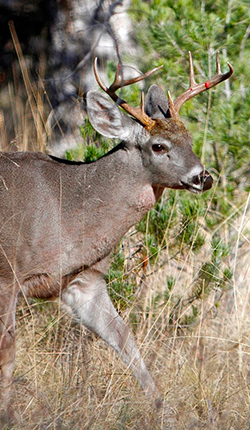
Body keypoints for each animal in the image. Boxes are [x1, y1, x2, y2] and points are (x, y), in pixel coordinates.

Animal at [0, 51, 234, 424]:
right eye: (159, 146)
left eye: (190, 139)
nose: (204, 177)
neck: (67, 211)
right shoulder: (8, 274)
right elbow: (7, 348)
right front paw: (7, 414)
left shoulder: (84, 280)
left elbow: (125, 338)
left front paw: (162, 410)